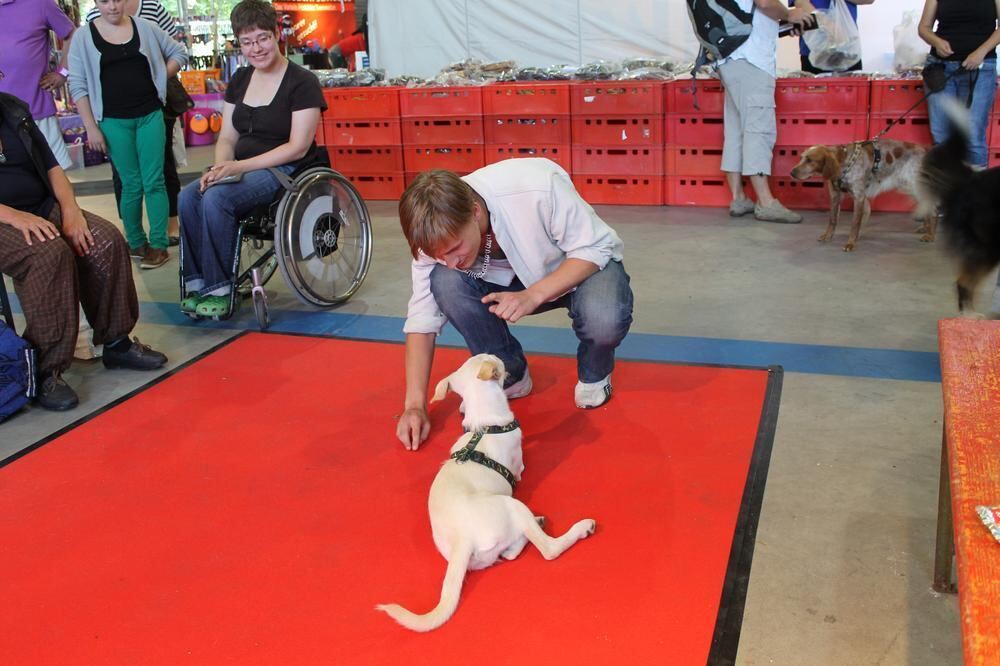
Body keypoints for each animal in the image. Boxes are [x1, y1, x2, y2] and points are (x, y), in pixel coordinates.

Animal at [376, 352, 592, 628]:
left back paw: (537, 523)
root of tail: (463, 540)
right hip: (513, 505)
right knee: (548, 549)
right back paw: (579, 528)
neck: (483, 426)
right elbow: (521, 466)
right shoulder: (519, 464)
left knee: (510, 553)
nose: (500, 357)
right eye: (495, 359)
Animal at [792, 139, 932, 250]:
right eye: (801, 158)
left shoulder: (859, 197)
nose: (791, 173)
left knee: (932, 210)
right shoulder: (836, 196)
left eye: (810, 160)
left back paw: (930, 235)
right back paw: (925, 228)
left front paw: (851, 243)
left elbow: (855, 223)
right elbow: (832, 219)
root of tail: (925, 150)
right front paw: (828, 236)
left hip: (916, 187)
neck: (845, 162)